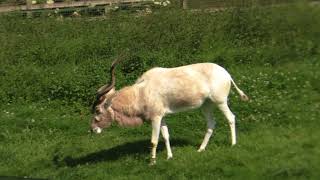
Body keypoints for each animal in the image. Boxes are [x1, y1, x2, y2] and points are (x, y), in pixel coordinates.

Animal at [89, 57, 249, 165]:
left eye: (97, 110)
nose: (93, 129)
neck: (141, 91)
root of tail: (226, 74)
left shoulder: (155, 118)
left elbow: (154, 140)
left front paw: (152, 162)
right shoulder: (162, 117)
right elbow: (166, 136)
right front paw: (169, 157)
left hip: (220, 101)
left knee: (231, 118)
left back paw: (233, 144)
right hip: (206, 105)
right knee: (211, 124)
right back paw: (201, 149)